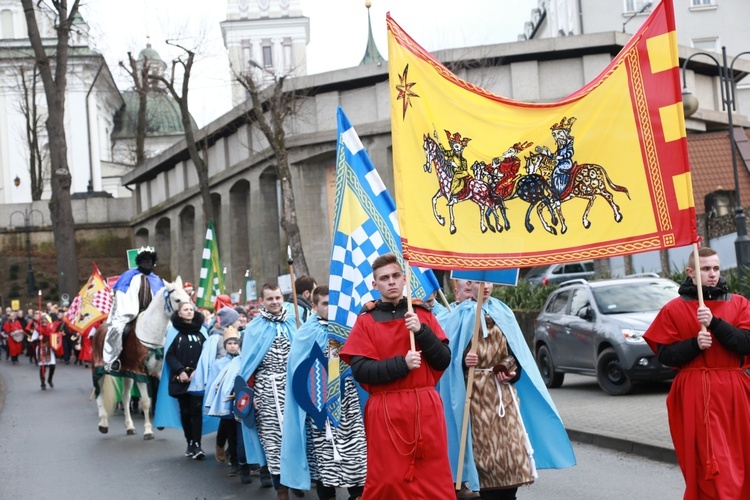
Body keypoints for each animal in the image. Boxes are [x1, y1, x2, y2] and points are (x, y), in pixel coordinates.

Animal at [92, 280, 189, 440]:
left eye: (188, 297)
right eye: (177, 300)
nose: (189, 316)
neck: (150, 333)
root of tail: (100, 328)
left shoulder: (156, 371)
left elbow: (161, 395)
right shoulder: (141, 373)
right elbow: (145, 402)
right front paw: (148, 430)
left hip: (127, 374)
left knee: (125, 397)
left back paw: (130, 426)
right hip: (98, 369)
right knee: (99, 394)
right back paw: (103, 424)